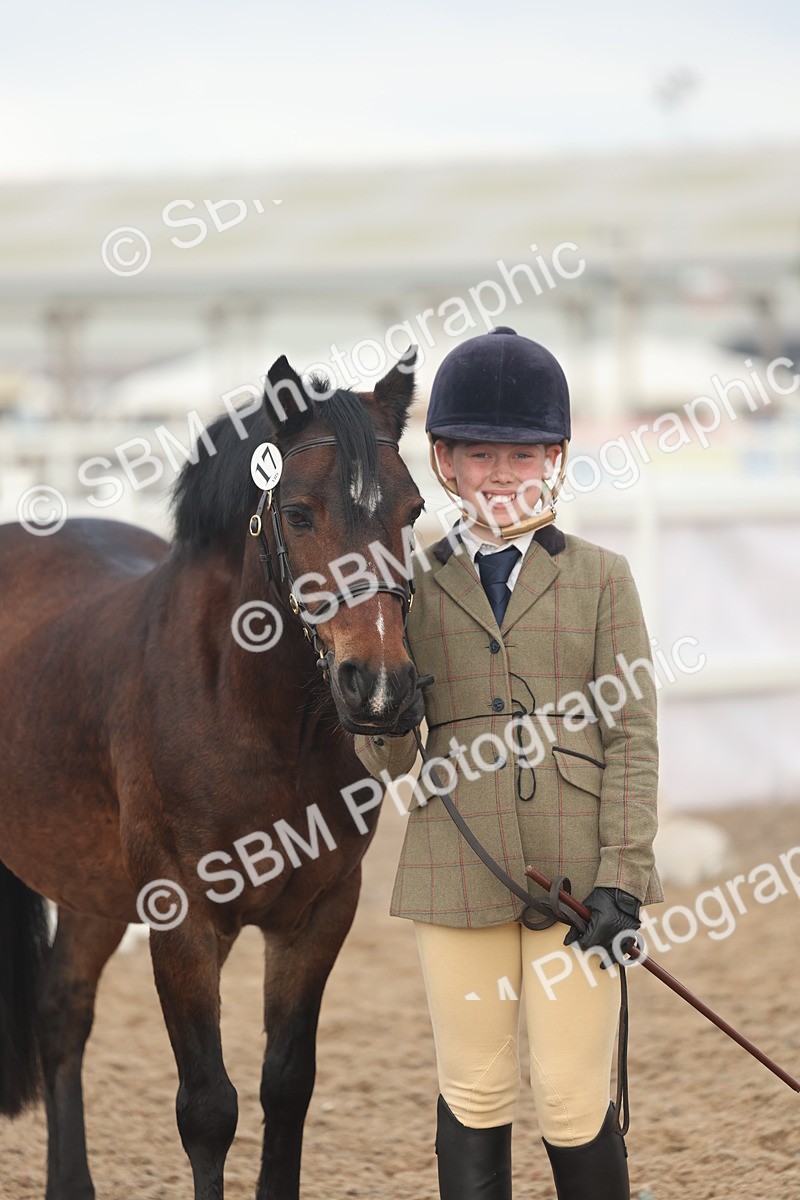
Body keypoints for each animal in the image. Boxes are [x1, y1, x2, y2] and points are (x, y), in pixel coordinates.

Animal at [0, 348, 425, 1200]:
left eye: (415, 510)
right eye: (298, 512)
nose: (380, 689)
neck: (250, 710)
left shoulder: (318, 914)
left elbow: (286, 1085)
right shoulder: (183, 918)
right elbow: (208, 1108)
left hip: (92, 888)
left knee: (63, 1012)